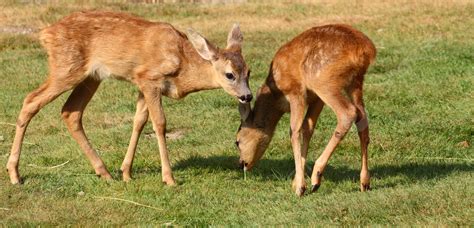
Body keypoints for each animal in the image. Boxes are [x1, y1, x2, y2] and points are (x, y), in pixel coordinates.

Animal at [6, 11, 252, 185]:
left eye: (249, 72)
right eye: (229, 75)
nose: (247, 96)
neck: (183, 63)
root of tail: (45, 34)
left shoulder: (141, 85)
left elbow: (138, 122)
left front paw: (126, 172)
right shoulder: (149, 78)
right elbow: (159, 123)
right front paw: (169, 178)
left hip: (91, 76)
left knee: (71, 111)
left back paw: (104, 172)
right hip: (66, 67)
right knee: (31, 100)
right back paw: (14, 174)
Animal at [235, 24, 376, 196]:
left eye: (237, 141)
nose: (241, 163)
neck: (275, 95)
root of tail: (365, 50)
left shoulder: (296, 92)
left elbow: (294, 130)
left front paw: (300, 187)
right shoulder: (316, 99)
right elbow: (307, 128)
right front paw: (296, 182)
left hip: (323, 80)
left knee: (348, 113)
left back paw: (317, 176)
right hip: (355, 82)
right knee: (363, 119)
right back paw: (365, 182)